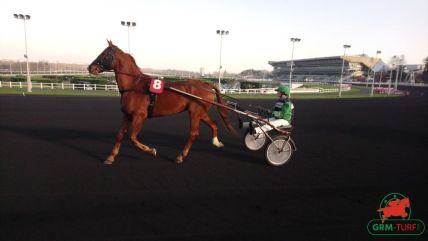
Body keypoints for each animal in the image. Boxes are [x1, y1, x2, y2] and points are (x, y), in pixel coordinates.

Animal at [87, 41, 234, 165]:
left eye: (104, 54)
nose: (90, 67)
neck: (134, 85)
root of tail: (207, 85)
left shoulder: (140, 116)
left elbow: (133, 138)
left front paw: (151, 150)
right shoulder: (127, 115)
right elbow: (120, 135)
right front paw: (110, 157)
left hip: (195, 112)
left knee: (193, 134)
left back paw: (180, 156)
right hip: (200, 112)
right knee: (214, 124)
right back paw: (217, 142)